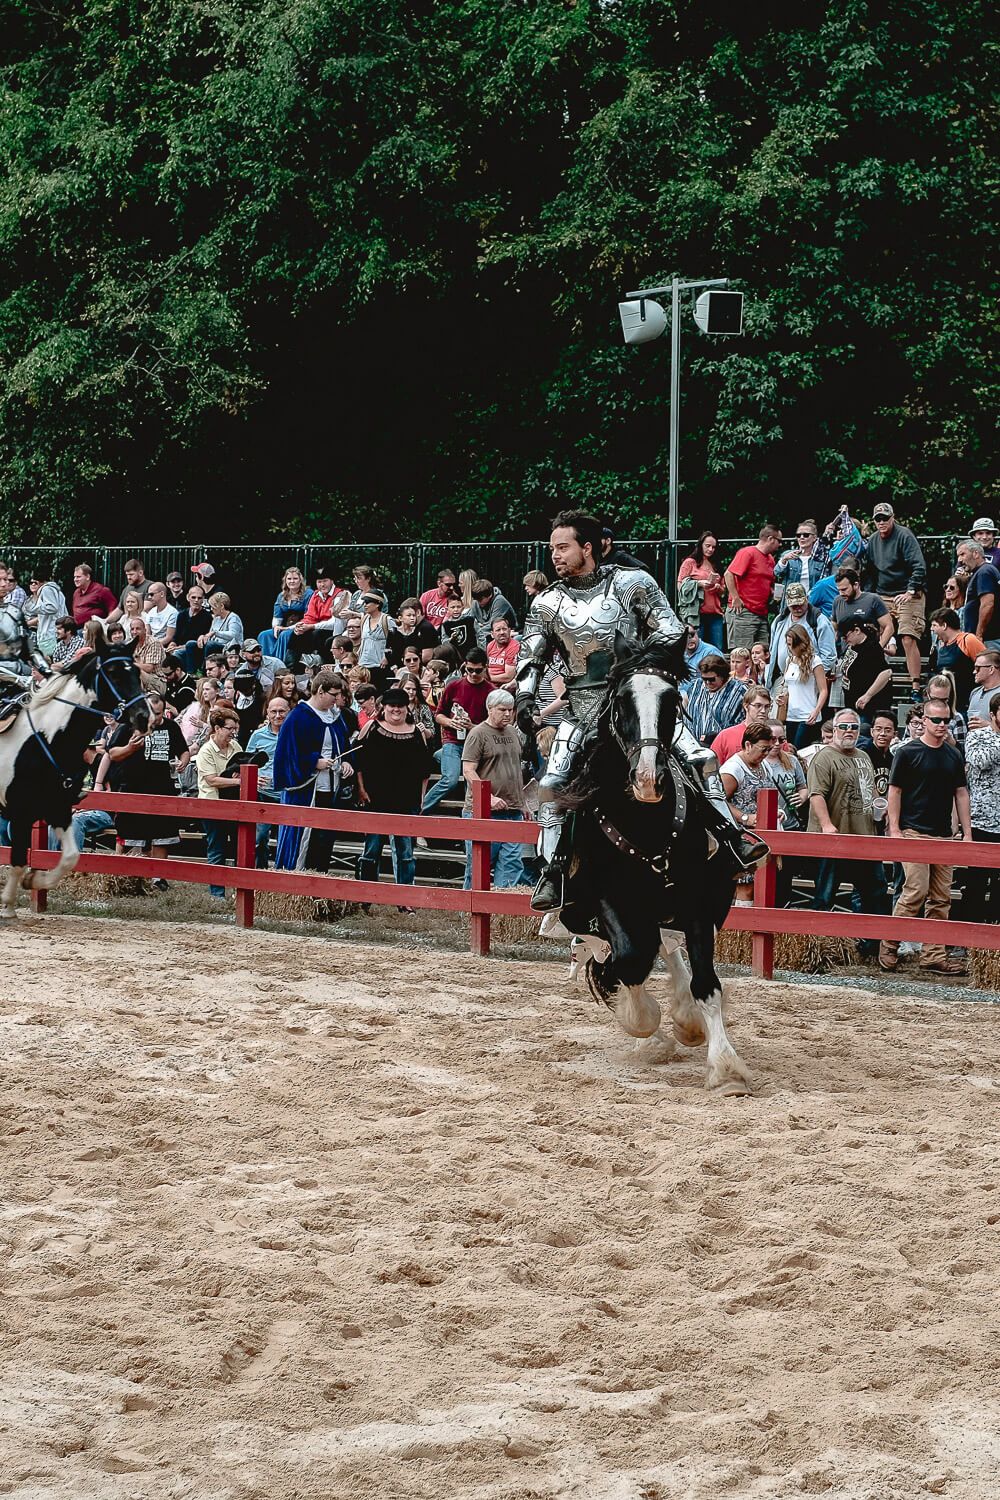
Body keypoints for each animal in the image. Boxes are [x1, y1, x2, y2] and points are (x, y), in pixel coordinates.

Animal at [0, 642, 147, 918]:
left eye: (136, 671)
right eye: (113, 673)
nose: (144, 716)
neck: (45, 739)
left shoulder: (57, 807)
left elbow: (69, 857)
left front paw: (34, 881)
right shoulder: (21, 812)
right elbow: (18, 860)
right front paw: (8, 905)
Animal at [554, 627, 749, 1098]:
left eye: (672, 698)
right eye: (622, 699)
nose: (647, 778)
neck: (644, 822)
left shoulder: (697, 901)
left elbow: (705, 984)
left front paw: (726, 1069)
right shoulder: (608, 901)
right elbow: (627, 963)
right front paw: (647, 1028)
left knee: (667, 946)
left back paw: (687, 1019)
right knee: (628, 951)